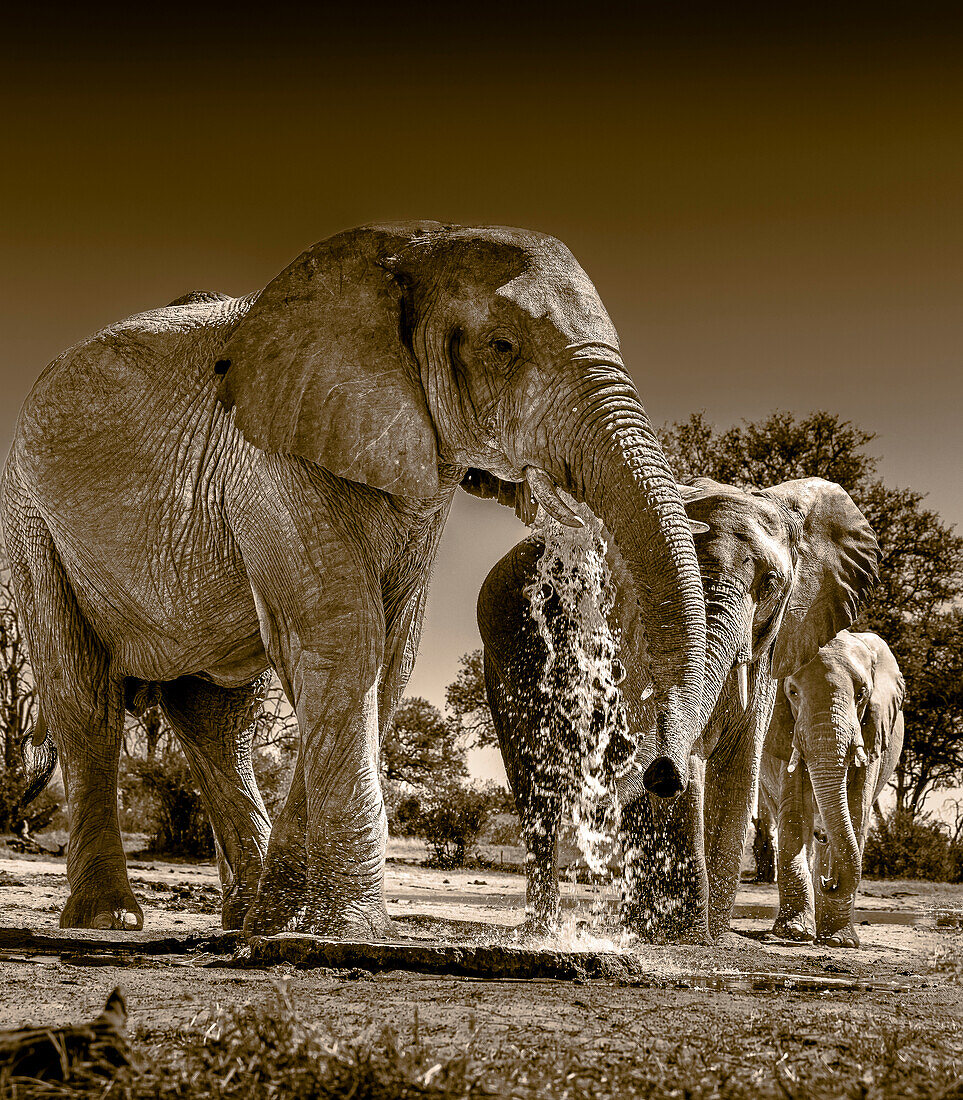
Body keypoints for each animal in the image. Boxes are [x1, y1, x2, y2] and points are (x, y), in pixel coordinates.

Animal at [0, 221, 708, 937]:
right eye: (503, 347)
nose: (660, 772)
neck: (411, 248)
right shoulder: (273, 457)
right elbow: (343, 637)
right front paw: (350, 930)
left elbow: (387, 654)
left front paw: (286, 926)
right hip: (32, 524)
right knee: (83, 699)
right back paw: (108, 918)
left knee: (217, 720)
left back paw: (243, 917)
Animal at [477, 477, 876, 941]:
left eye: (771, 583)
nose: (665, 772)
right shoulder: (627, 631)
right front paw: (686, 936)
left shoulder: (770, 652)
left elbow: (738, 768)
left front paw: (710, 938)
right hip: (505, 652)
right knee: (535, 781)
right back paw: (547, 929)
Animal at [761, 633, 902, 950]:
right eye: (792, 692)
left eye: (862, 693)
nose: (830, 882)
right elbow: (795, 814)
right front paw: (793, 934)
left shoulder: (872, 730)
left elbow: (857, 811)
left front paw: (839, 941)